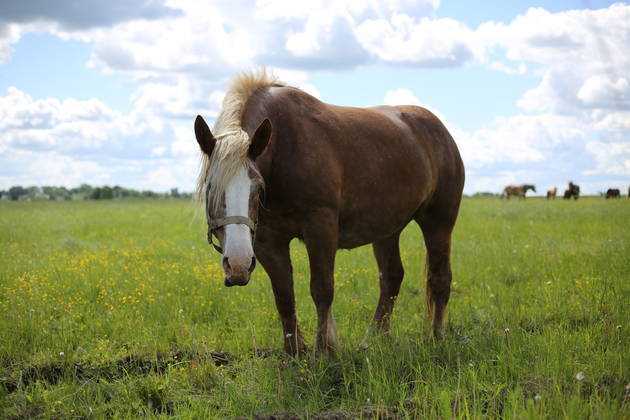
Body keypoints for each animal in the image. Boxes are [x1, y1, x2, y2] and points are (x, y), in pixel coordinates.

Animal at [195, 70, 466, 356]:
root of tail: (440, 130)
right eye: (210, 186)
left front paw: (324, 350)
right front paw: (294, 352)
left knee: (440, 278)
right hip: (386, 230)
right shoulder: (268, 242)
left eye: (258, 186)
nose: (237, 264)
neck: (285, 147)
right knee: (392, 277)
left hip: (439, 222)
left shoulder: (320, 226)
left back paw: (436, 336)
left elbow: (322, 289)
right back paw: (374, 339)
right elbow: (284, 294)